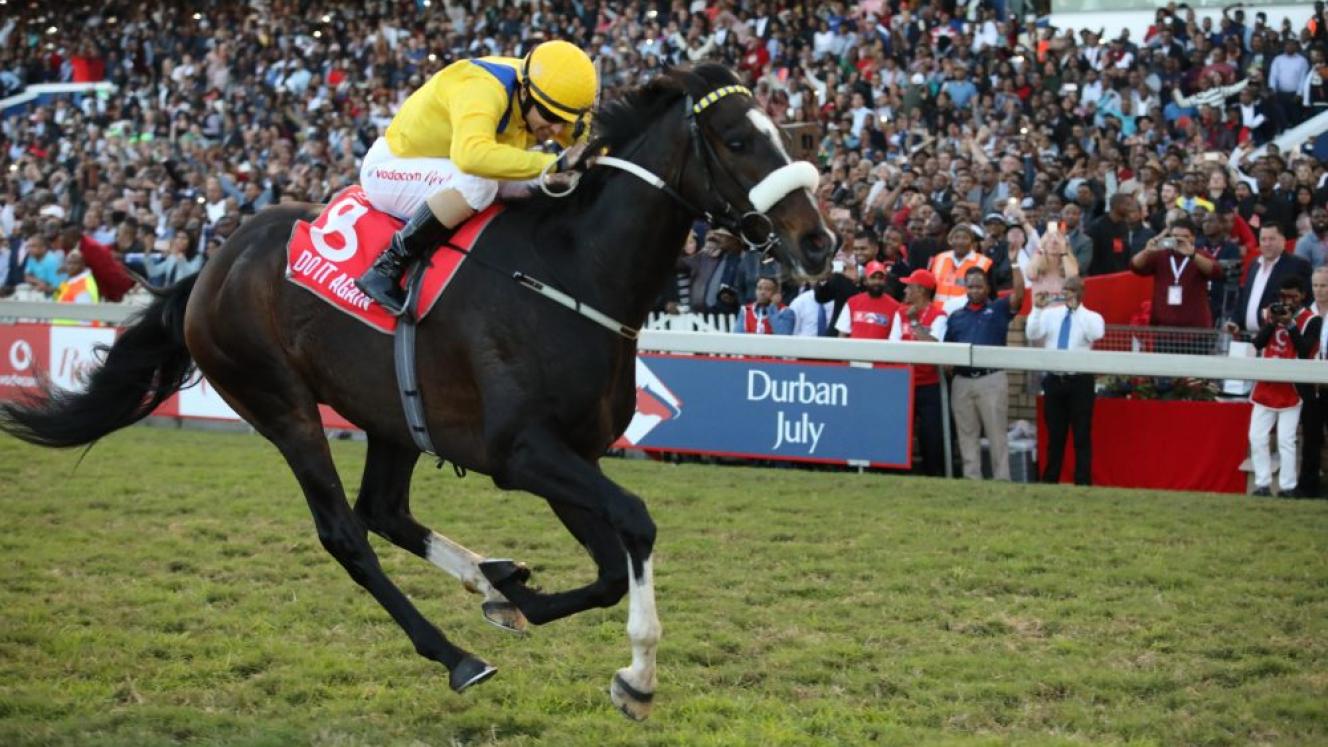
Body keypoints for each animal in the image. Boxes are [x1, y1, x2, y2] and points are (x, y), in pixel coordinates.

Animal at [0, 63, 833, 720]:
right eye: (737, 138)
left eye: (786, 133)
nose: (820, 241)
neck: (571, 270)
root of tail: (211, 265)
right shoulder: (522, 452)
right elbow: (635, 521)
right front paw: (636, 673)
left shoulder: (569, 454)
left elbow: (603, 568)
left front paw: (518, 598)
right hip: (281, 404)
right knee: (347, 532)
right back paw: (456, 652)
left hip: (392, 416)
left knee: (385, 509)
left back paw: (488, 577)